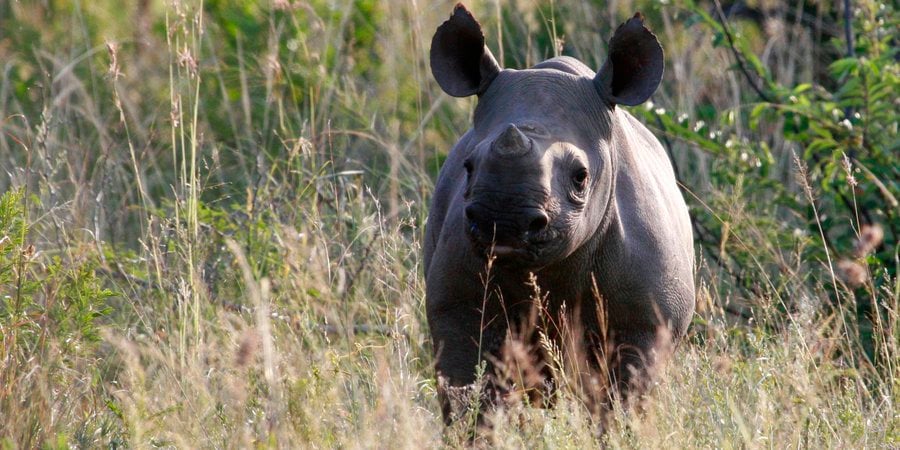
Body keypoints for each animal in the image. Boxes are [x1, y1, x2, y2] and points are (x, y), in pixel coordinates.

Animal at [424, 4, 695, 424]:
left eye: (580, 177)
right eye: (468, 166)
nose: (504, 221)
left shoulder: (647, 320)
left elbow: (624, 403)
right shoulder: (457, 304)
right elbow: (469, 395)